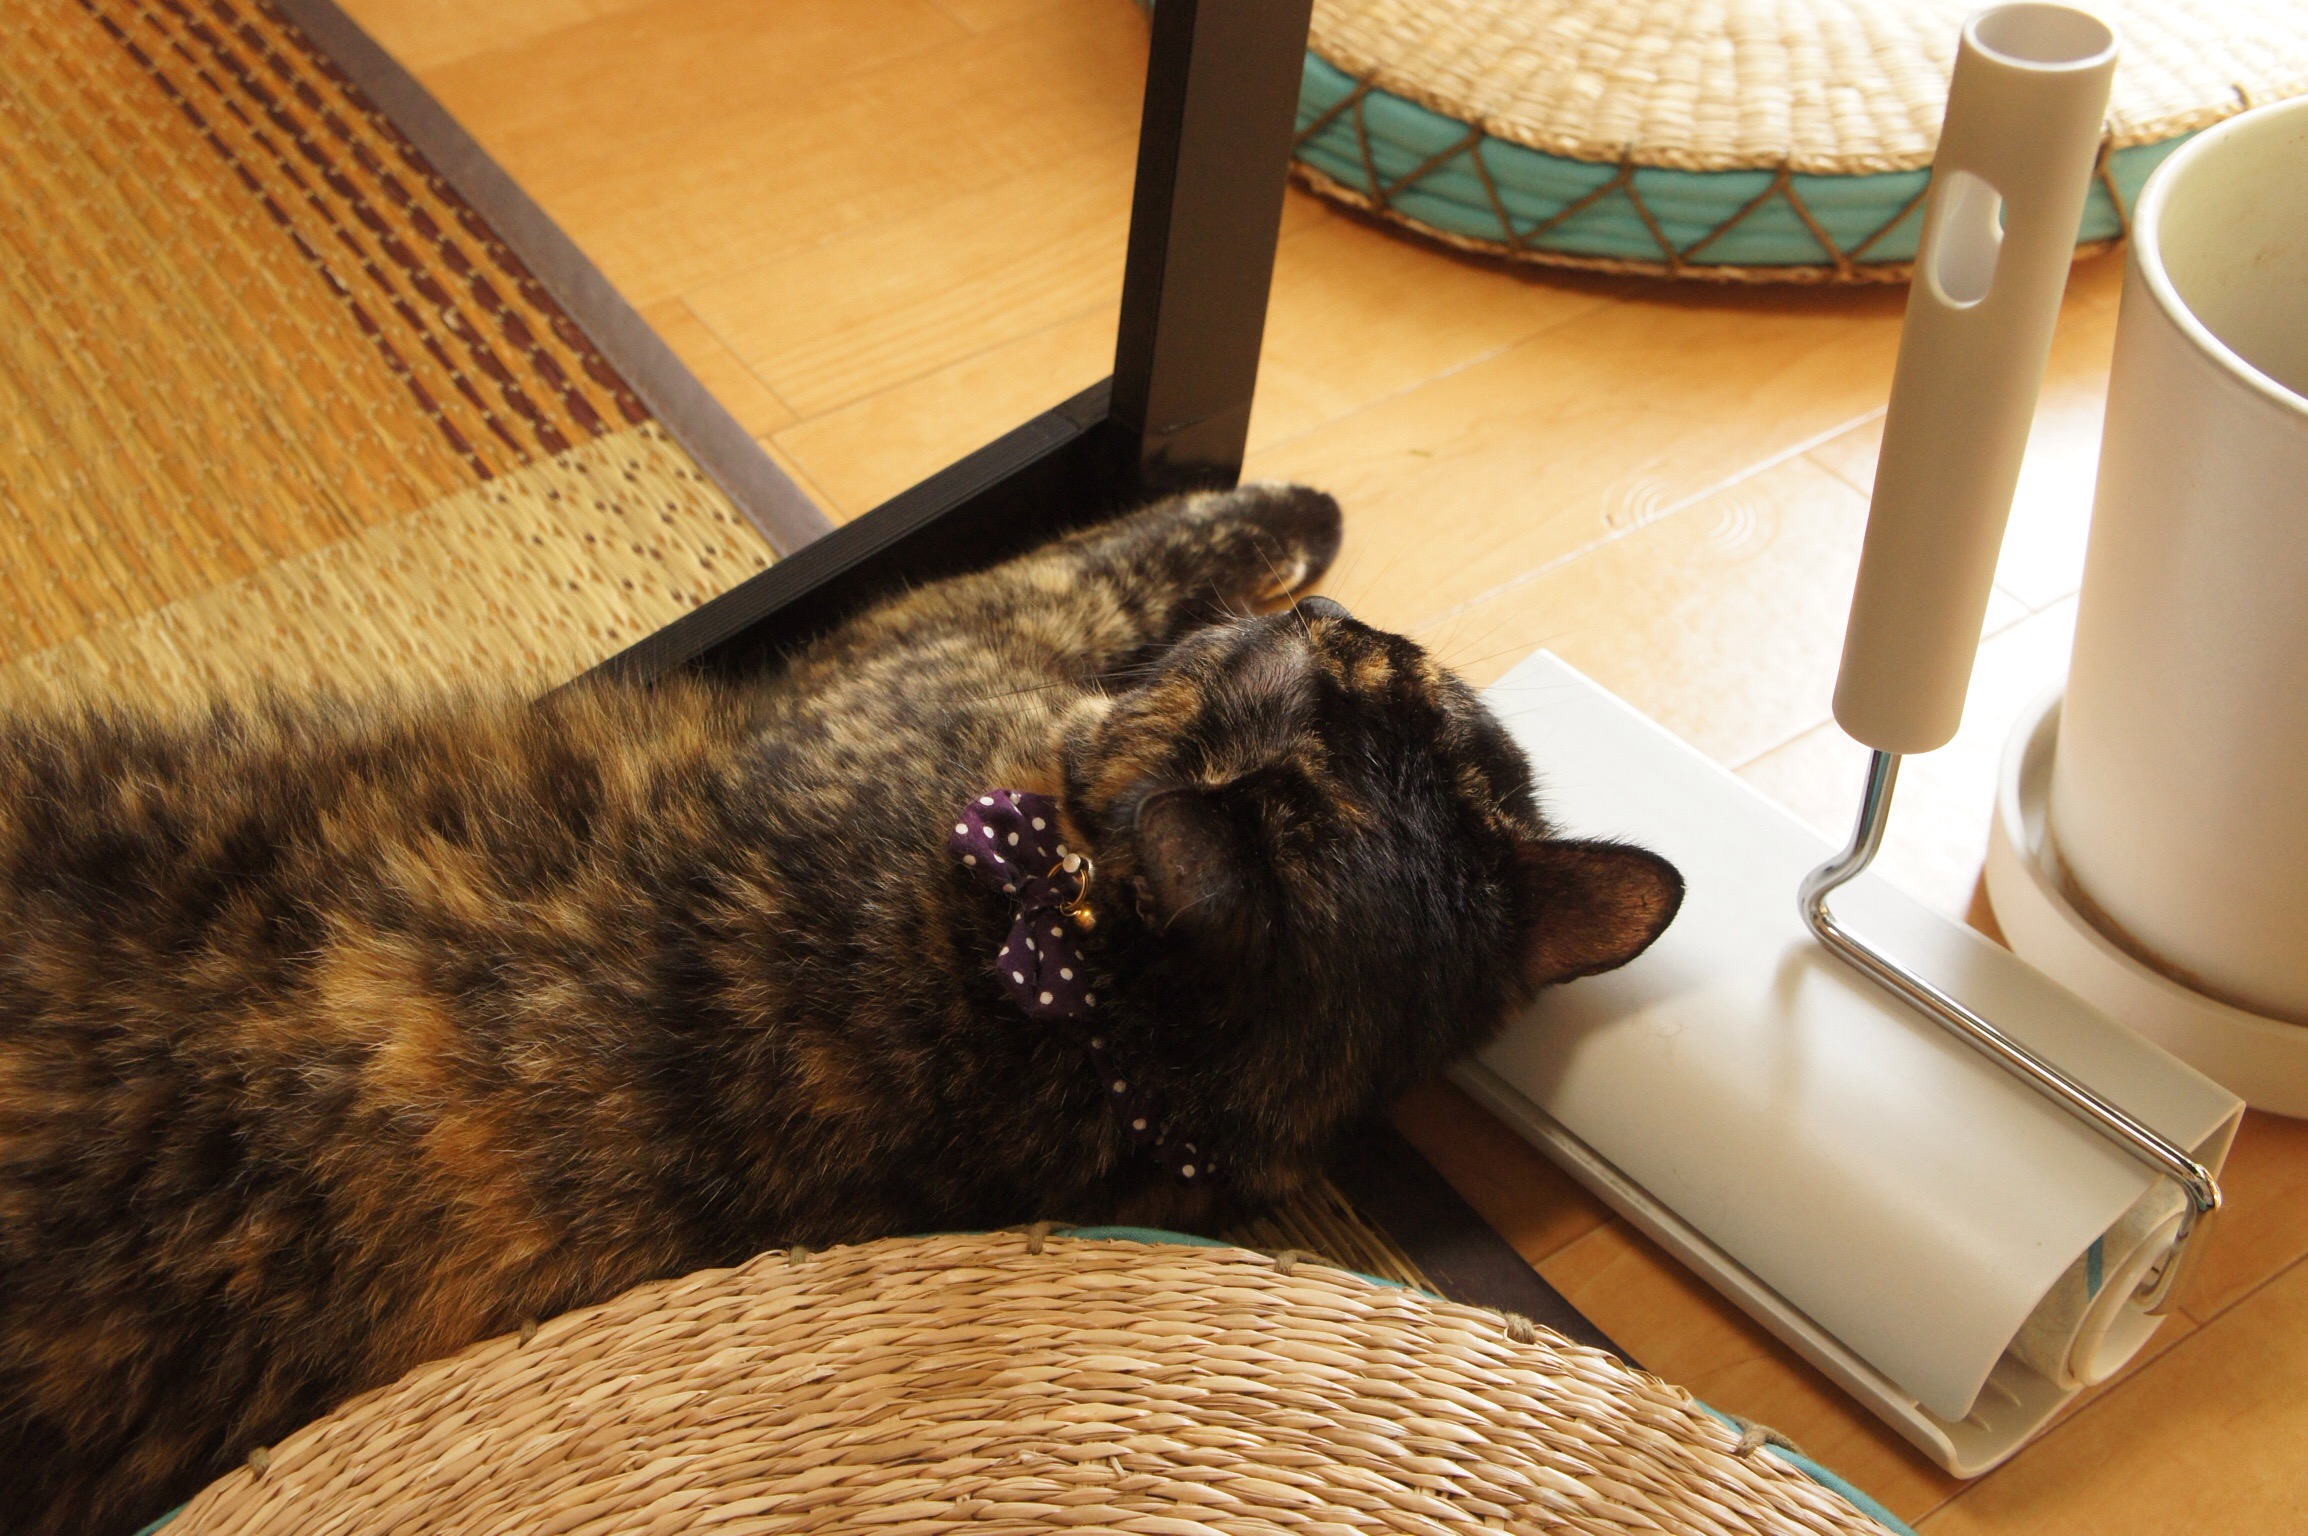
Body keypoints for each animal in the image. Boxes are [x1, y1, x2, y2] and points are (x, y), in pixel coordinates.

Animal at [0, 483, 1681, 1535]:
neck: (1101, 1031)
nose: (1334, 619)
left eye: (1346, 667)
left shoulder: (923, 656)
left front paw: (1292, 504)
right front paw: (1306, 521)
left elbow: (1100, 553)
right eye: (1389, 675)